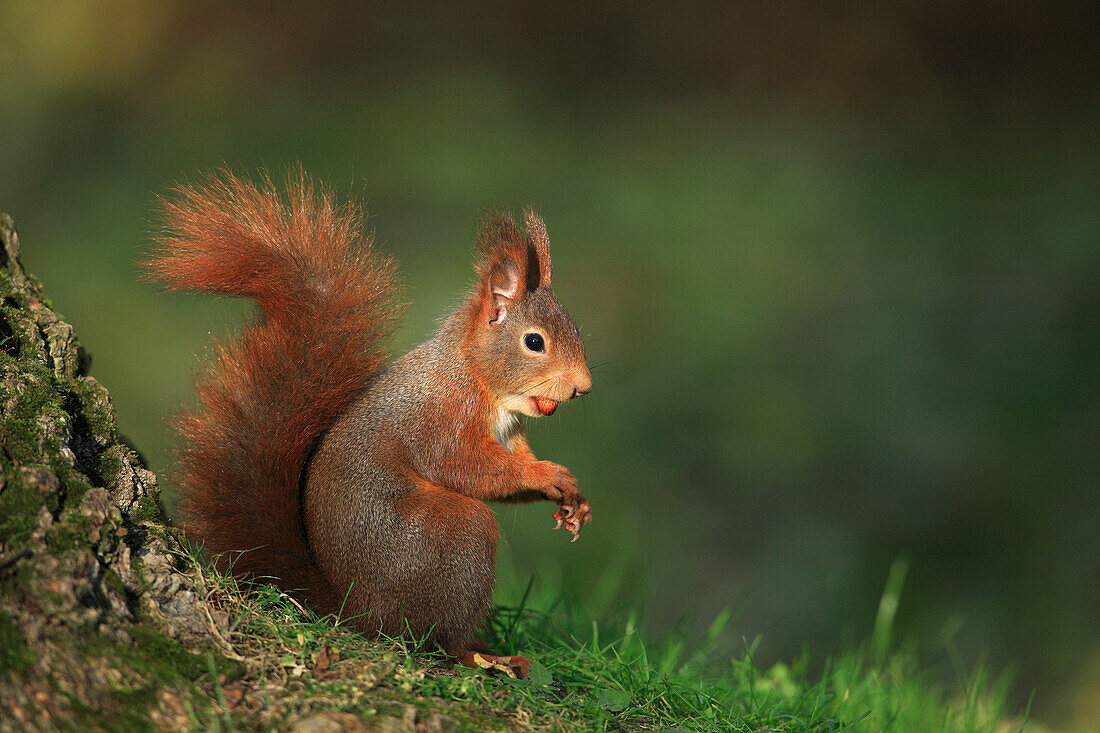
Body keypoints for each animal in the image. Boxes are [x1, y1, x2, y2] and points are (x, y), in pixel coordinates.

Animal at [149, 169, 594, 673]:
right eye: (534, 342)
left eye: (575, 330)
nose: (584, 386)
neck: (479, 379)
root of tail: (356, 610)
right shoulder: (444, 417)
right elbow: (469, 467)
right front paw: (547, 474)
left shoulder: (510, 431)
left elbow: (512, 464)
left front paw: (572, 498)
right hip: (453, 535)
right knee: (429, 636)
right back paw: (479, 654)